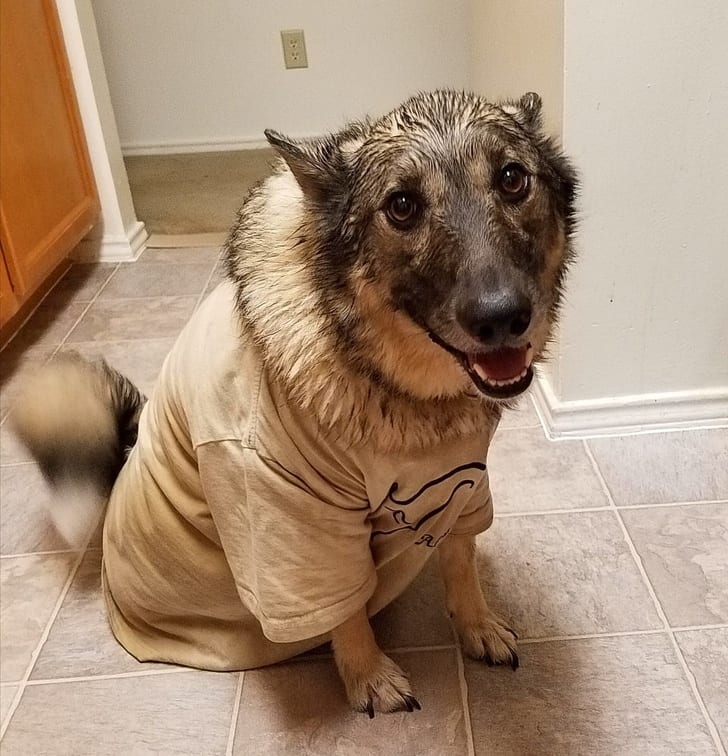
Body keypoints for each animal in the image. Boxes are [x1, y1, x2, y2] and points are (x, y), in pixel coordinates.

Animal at [11, 90, 576, 716]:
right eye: (402, 206)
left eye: (512, 179)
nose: (503, 318)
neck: (391, 384)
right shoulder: (292, 512)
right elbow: (342, 607)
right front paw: (368, 676)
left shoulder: (464, 482)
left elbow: (460, 558)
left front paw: (476, 625)